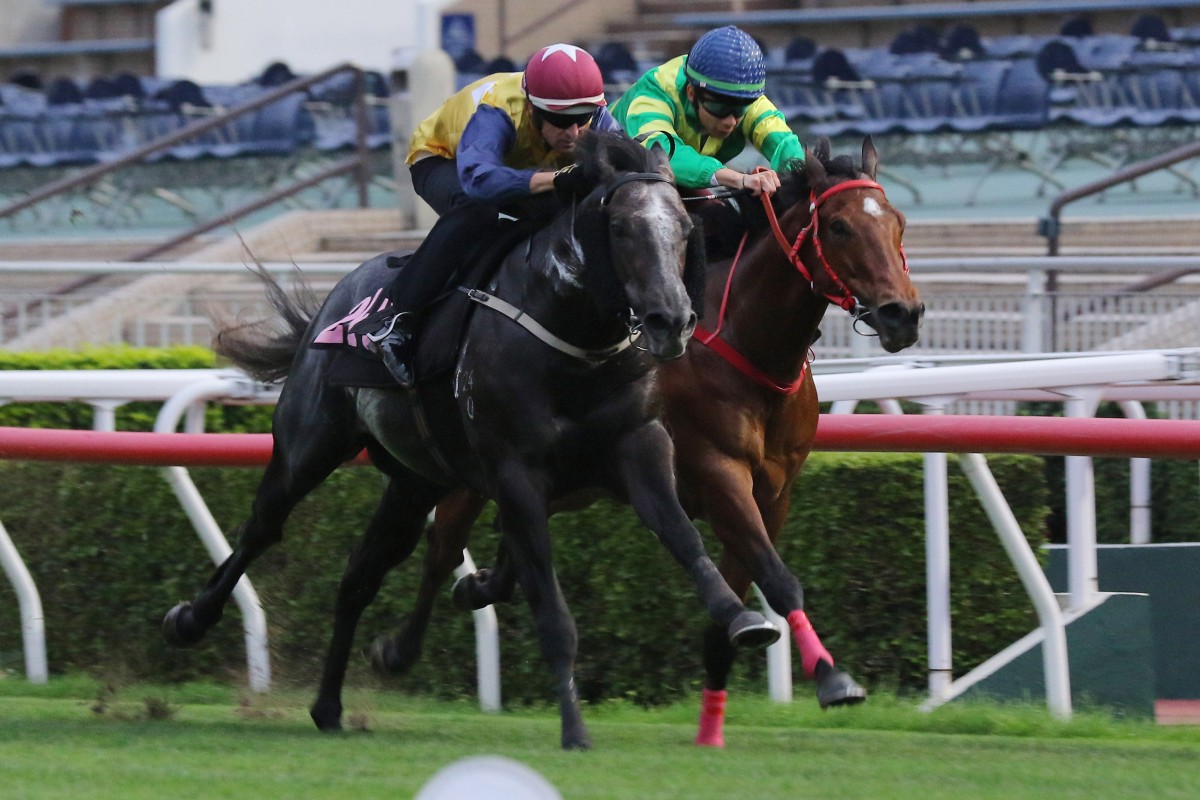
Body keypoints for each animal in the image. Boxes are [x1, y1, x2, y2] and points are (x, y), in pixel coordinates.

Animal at [369, 136, 921, 743]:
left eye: (897, 223)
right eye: (840, 227)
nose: (904, 313)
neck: (745, 347)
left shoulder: (773, 492)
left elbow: (745, 595)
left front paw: (713, 727)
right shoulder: (718, 474)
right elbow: (778, 579)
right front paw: (833, 679)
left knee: (511, 546)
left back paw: (482, 585)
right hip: (475, 473)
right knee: (442, 550)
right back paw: (401, 644)